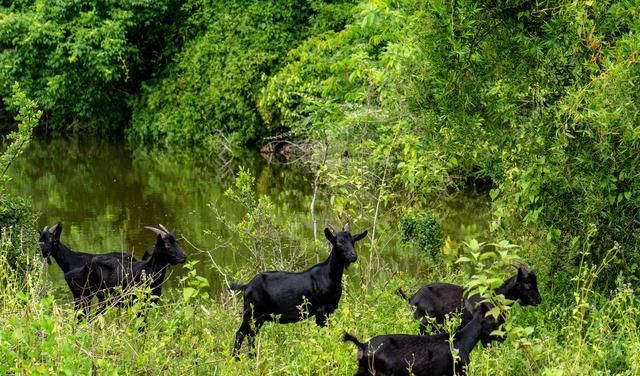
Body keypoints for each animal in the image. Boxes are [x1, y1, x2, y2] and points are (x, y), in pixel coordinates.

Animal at [232, 225, 368, 356]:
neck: (329, 275)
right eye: (339, 243)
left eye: (353, 242)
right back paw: (236, 359)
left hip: (259, 317)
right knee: (240, 334)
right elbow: (322, 334)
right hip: (251, 312)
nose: (353, 256)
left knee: (251, 335)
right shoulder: (320, 310)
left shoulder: (329, 310)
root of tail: (246, 286)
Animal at [342, 302, 498, 376]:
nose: (502, 337)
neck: (463, 341)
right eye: (493, 322)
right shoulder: (459, 370)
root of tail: (362, 345)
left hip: (364, 370)